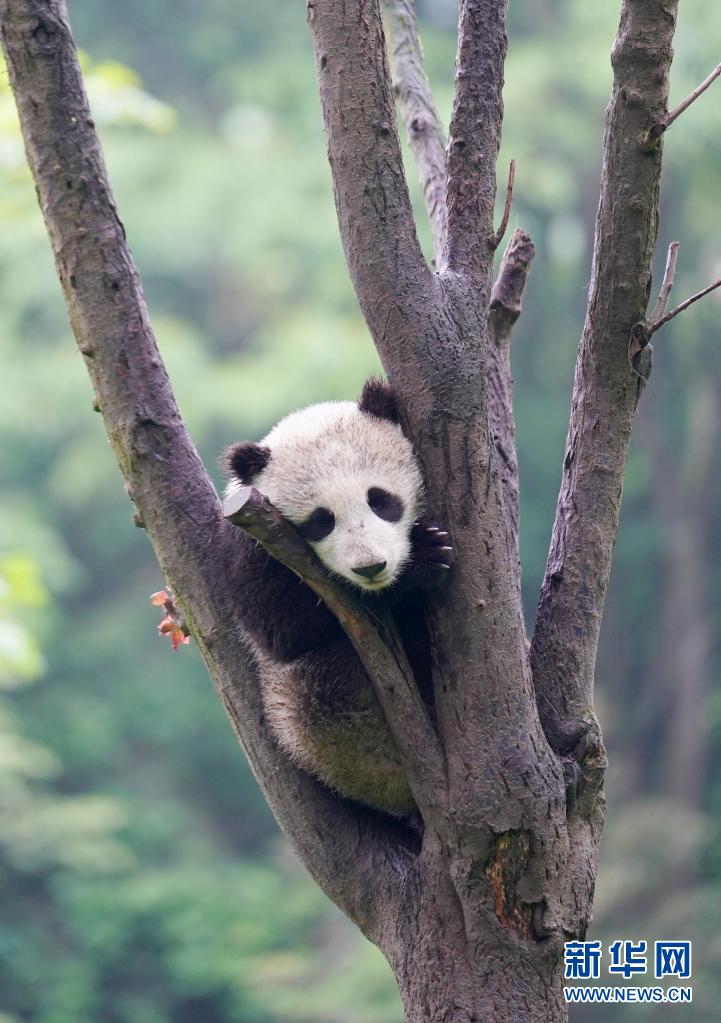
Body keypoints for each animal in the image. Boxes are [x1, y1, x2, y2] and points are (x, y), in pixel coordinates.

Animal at [221, 376, 452, 814]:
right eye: (320, 521)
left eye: (381, 500)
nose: (370, 567)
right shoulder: (253, 542)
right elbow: (284, 632)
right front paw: (421, 562)